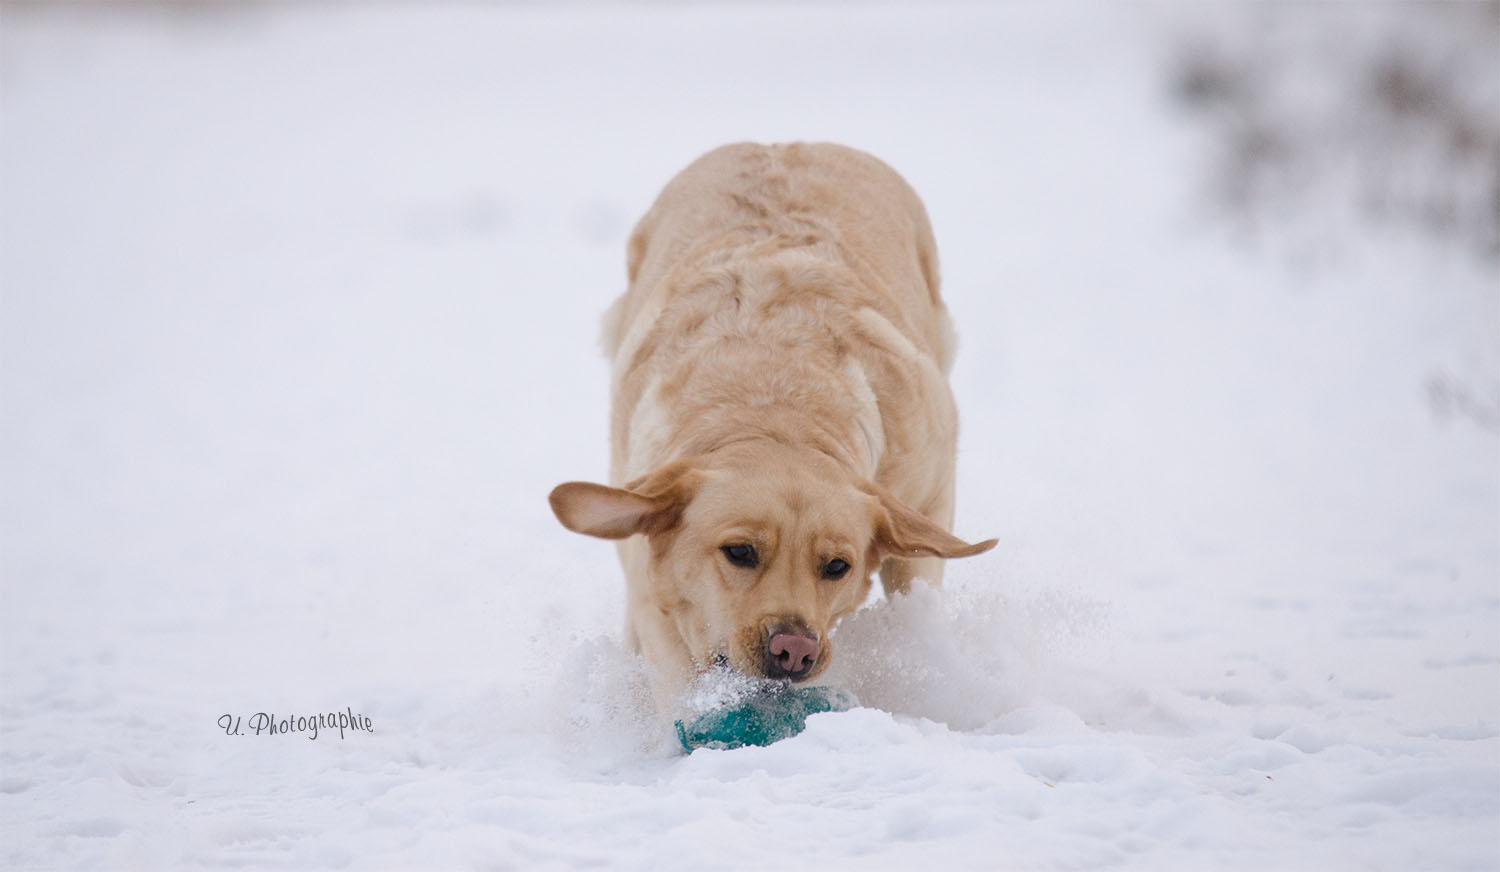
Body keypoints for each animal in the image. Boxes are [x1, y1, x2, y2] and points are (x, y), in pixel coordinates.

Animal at [552, 141, 996, 708]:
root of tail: (784, 141)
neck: (774, 410)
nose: (794, 650)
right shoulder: (649, 578)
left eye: (837, 566)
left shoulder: (931, 489)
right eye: (740, 552)